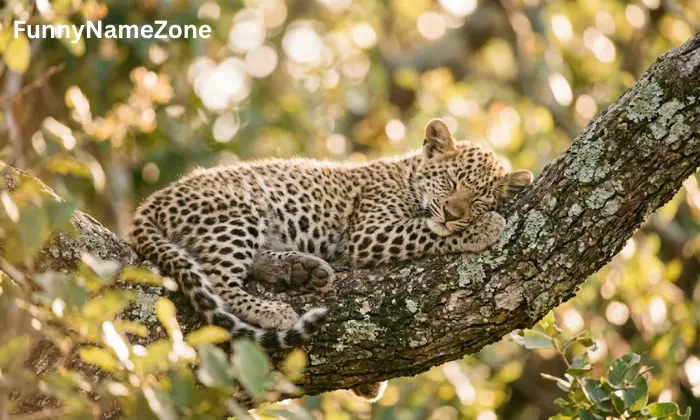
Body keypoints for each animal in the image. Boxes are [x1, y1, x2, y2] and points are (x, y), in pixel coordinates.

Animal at [128, 118, 532, 398]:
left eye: (478, 199)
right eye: (450, 182)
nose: (452, 213)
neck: (407, 173)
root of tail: (151, 202)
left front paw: (369, 386)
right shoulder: (370, 231)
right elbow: (427, 232)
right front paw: (483, 228)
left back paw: (301, 269)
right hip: (240, 210)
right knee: (219, 280)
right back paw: (272, 309)